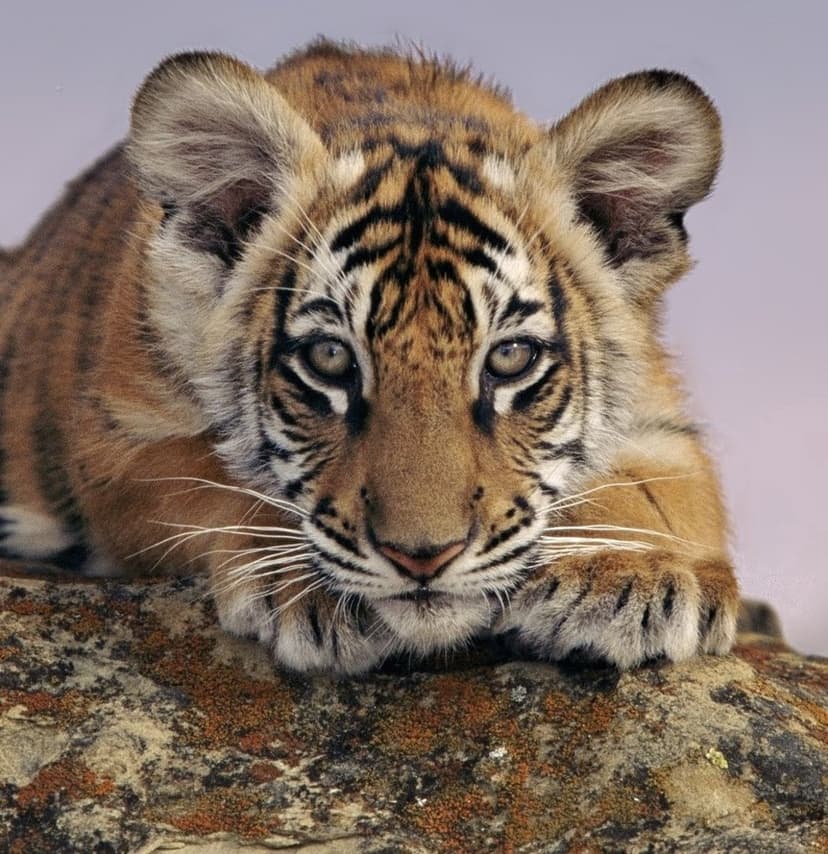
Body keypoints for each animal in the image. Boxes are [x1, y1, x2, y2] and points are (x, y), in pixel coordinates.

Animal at [0, 41, 739, 674]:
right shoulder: (118, 438)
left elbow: (654, 493)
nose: (423, 559)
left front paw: (625, 574)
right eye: (330, 358)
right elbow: (212, 477)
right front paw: (306, 584)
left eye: (509, 359)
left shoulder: (660, 421)